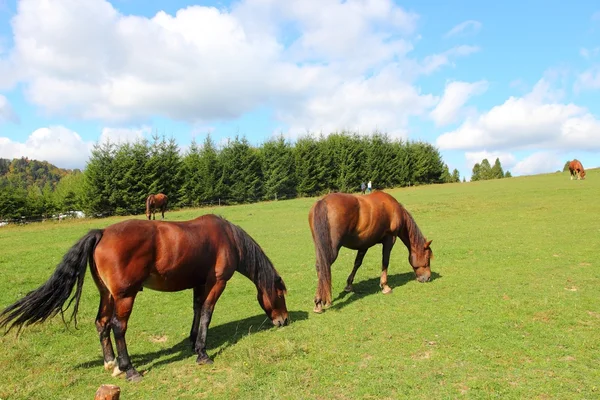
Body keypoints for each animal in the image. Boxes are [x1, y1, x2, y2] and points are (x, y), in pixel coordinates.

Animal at [0, 216, 290, 382]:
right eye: (280, 294)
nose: (284, 321)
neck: (227, 238)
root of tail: (102, 232)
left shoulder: (199, 283)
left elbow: (197, 310)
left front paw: (193, 341)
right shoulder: (216, 283)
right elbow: (207, 313)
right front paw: (202, 353)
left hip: (107, 295)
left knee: (102, 323)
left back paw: (111, 364)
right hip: (125, 297)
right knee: (118, 327)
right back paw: (129, 370)